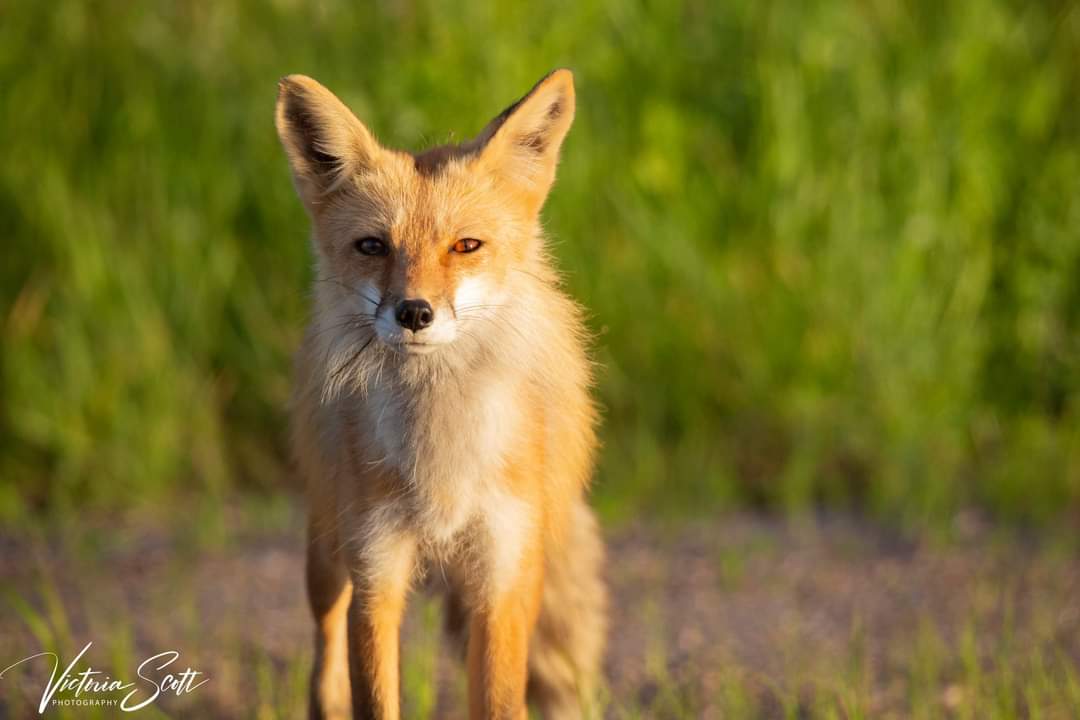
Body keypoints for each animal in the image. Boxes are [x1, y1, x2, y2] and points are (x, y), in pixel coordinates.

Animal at [274, 69, 609, 720]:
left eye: (466, 246)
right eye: (373, 246)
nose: (414, 313)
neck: (441, 461)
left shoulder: (502, 578)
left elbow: (500, 701)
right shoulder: (376, 572)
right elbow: (374, 696)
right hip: (326, 550)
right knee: (324, 648)